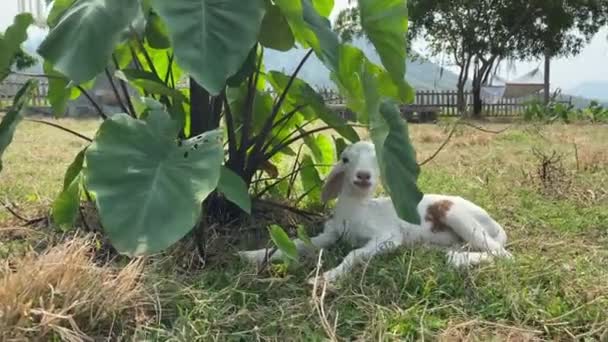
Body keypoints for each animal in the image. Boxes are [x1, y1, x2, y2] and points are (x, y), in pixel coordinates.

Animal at [238, 140, 512, 284]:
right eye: (345, 159)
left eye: (378, 161)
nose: (363, 176)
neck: (357, 212)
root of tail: (496, 226)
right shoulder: (330, 234)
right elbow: (295, 244)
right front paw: (249, 255)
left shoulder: (388, 236)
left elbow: (354, 254)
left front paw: (326, 277)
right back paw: (450, 254)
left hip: (459, 217)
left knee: (504, 255)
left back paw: (459, 260)